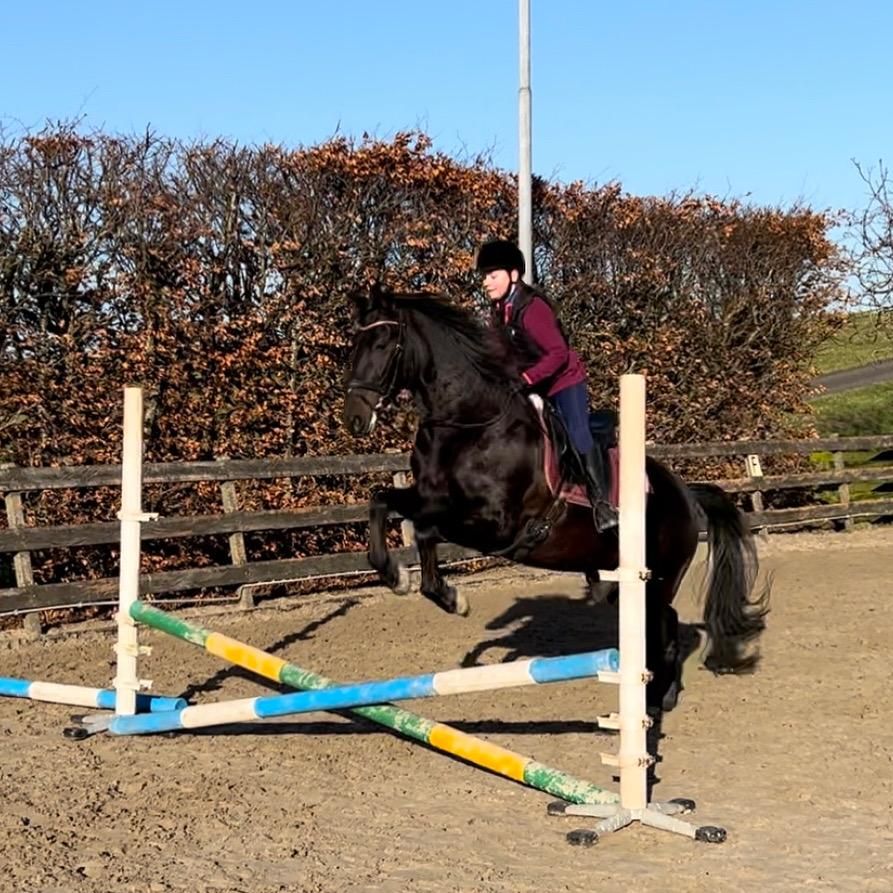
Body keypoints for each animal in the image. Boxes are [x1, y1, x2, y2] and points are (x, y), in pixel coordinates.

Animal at [342, 285, 769, 713]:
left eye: (383, 342)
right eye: (354, 343)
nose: (354, 419)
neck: (468, 424)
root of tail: (685, 491)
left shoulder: (496, 525)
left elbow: (427, 529)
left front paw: (451, 597)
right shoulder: (427, 497)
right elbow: (381, 503)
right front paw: (398, 577)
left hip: (659, 576)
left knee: (663, 629)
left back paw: (655, 700)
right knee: (659, 624)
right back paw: (659, 693)